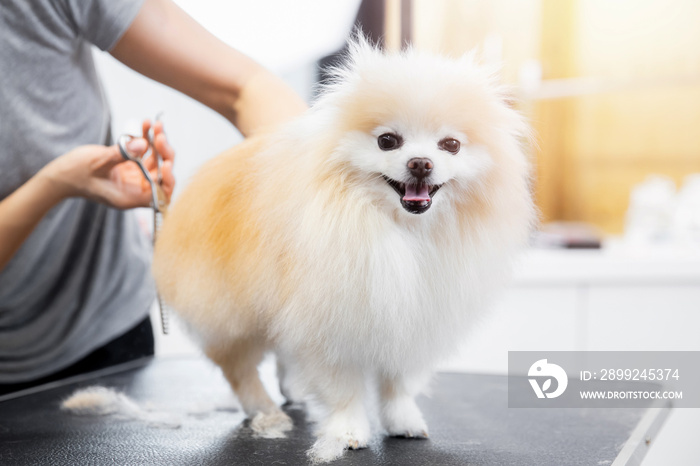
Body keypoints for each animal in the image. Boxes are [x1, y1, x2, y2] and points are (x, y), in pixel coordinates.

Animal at [153, 38, 536, 460]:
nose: (420, 163)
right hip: (230, 312)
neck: (401, 232)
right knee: (239, 370)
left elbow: (398, 383)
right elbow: (344, 389)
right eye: (388, 140)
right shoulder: (332, 321)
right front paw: (349, 431)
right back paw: (265, 410)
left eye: (450, 145)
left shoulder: (414, 315)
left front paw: (403, 420)